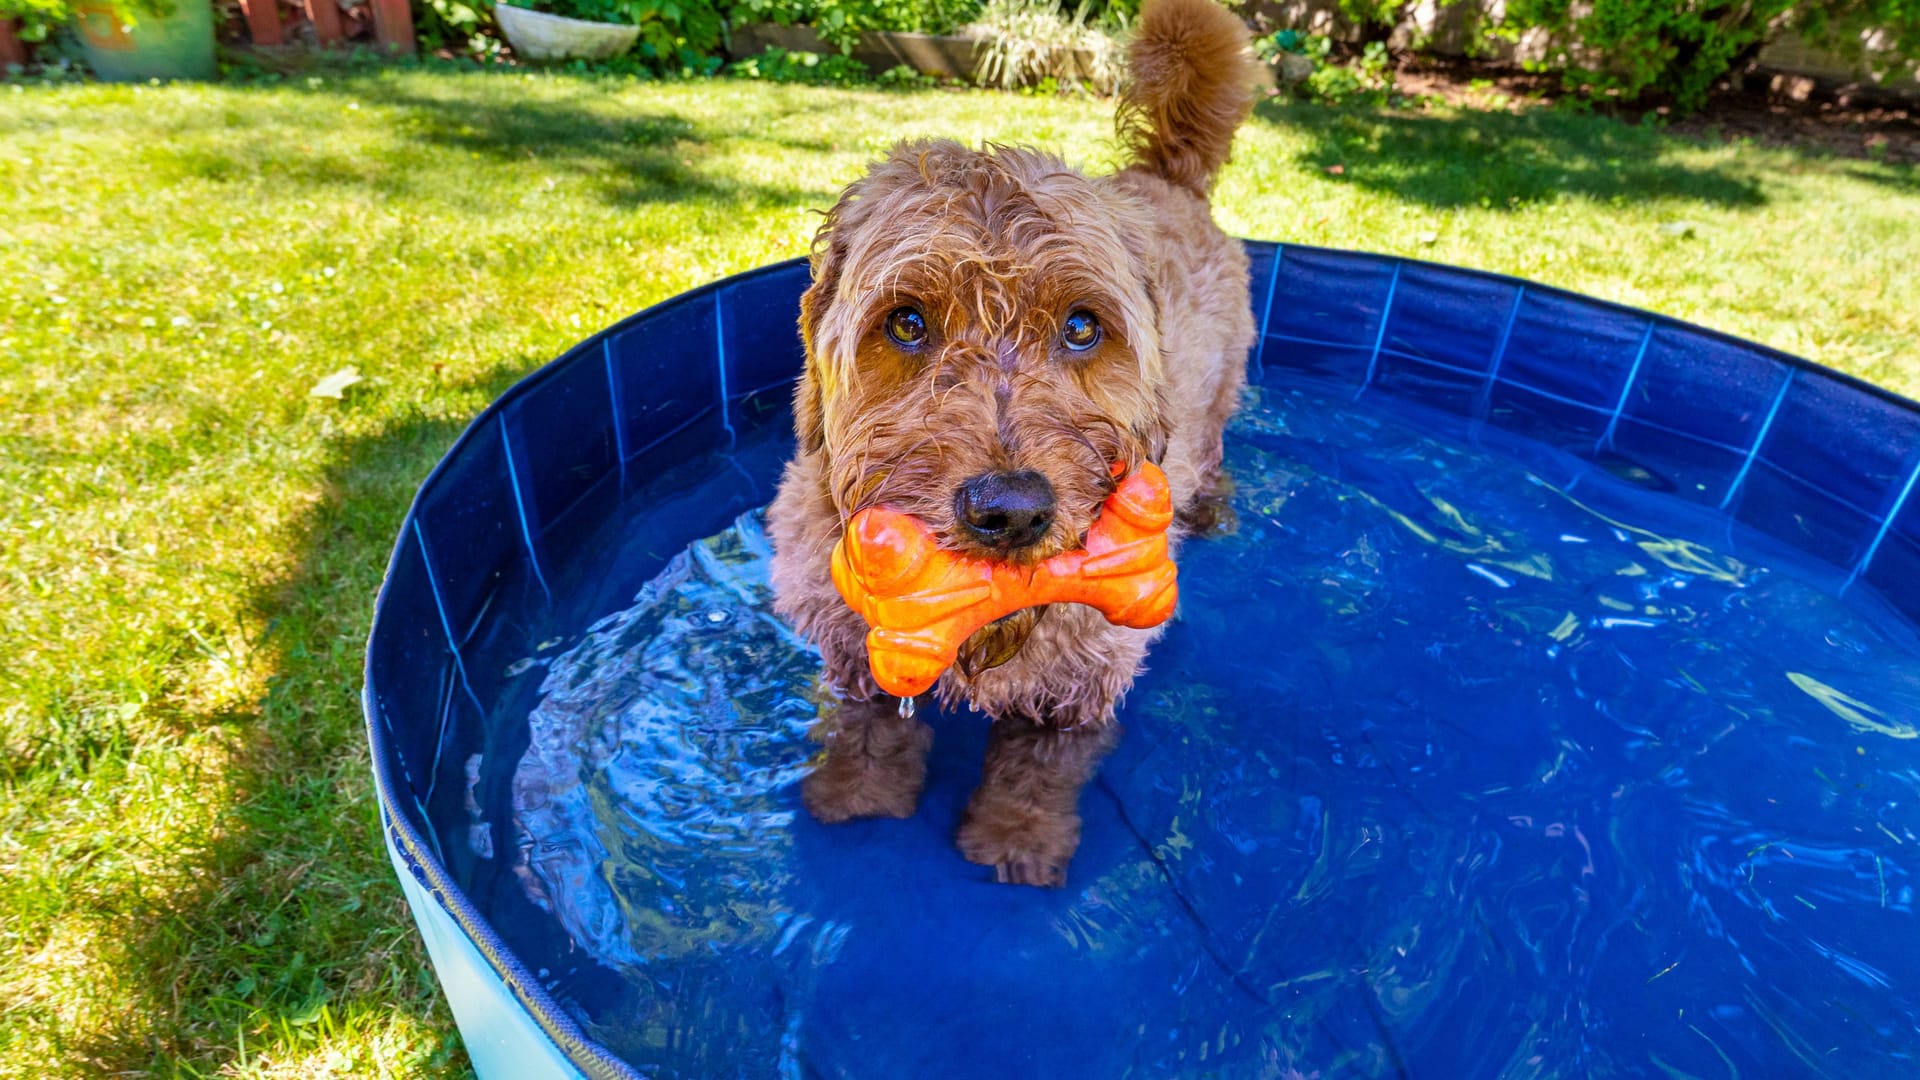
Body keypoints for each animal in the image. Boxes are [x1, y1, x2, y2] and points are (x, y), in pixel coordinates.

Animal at [764, 0, 1259, 883]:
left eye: (1081, 327)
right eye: (907, 321)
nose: (1011, 510)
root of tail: (1165, 173)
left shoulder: (1087, 670)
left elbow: (1041, 765)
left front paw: (1016, 840)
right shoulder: (852, 642)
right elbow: (867, 725)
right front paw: (857, 796)